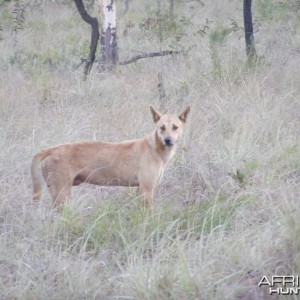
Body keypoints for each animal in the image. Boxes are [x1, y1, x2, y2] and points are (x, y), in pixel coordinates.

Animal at [30, 106, 190, 210]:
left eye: (175, 127)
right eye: (162, 127)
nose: (168, 140)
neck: (157, 150)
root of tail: (51, 149)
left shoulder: (140, 190)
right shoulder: (147, 190)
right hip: (62, 195)